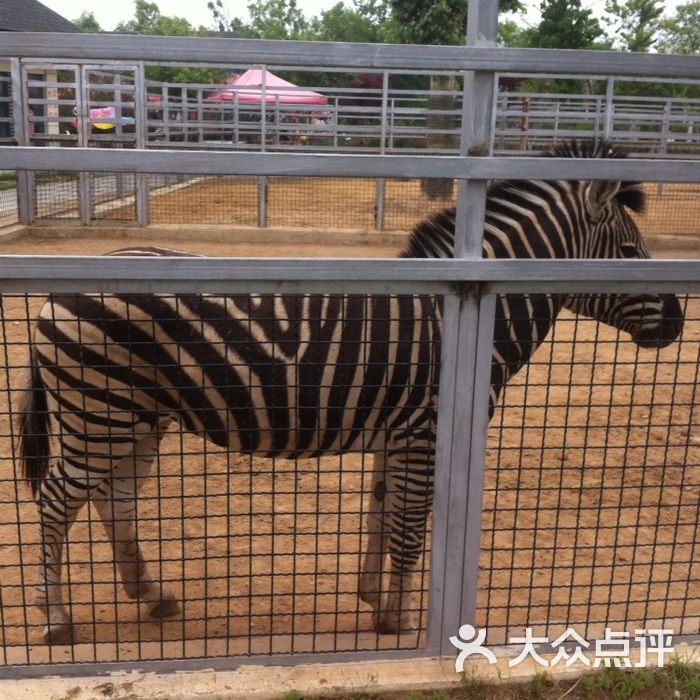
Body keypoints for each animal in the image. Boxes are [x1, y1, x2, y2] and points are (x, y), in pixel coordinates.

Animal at [17, 138, 684, 644]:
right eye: (631, 253)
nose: (679, 323)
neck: (465, 316)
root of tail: (55, 293)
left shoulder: (400, 432)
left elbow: (382, 512)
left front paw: (373, 598)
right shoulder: (425, 430)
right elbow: (410, 528)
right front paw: (403, 621)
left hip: (135, 417)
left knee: (114, 501)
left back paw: (150, 593)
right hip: (98, 412)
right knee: (56, 501)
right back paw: (55, 618)